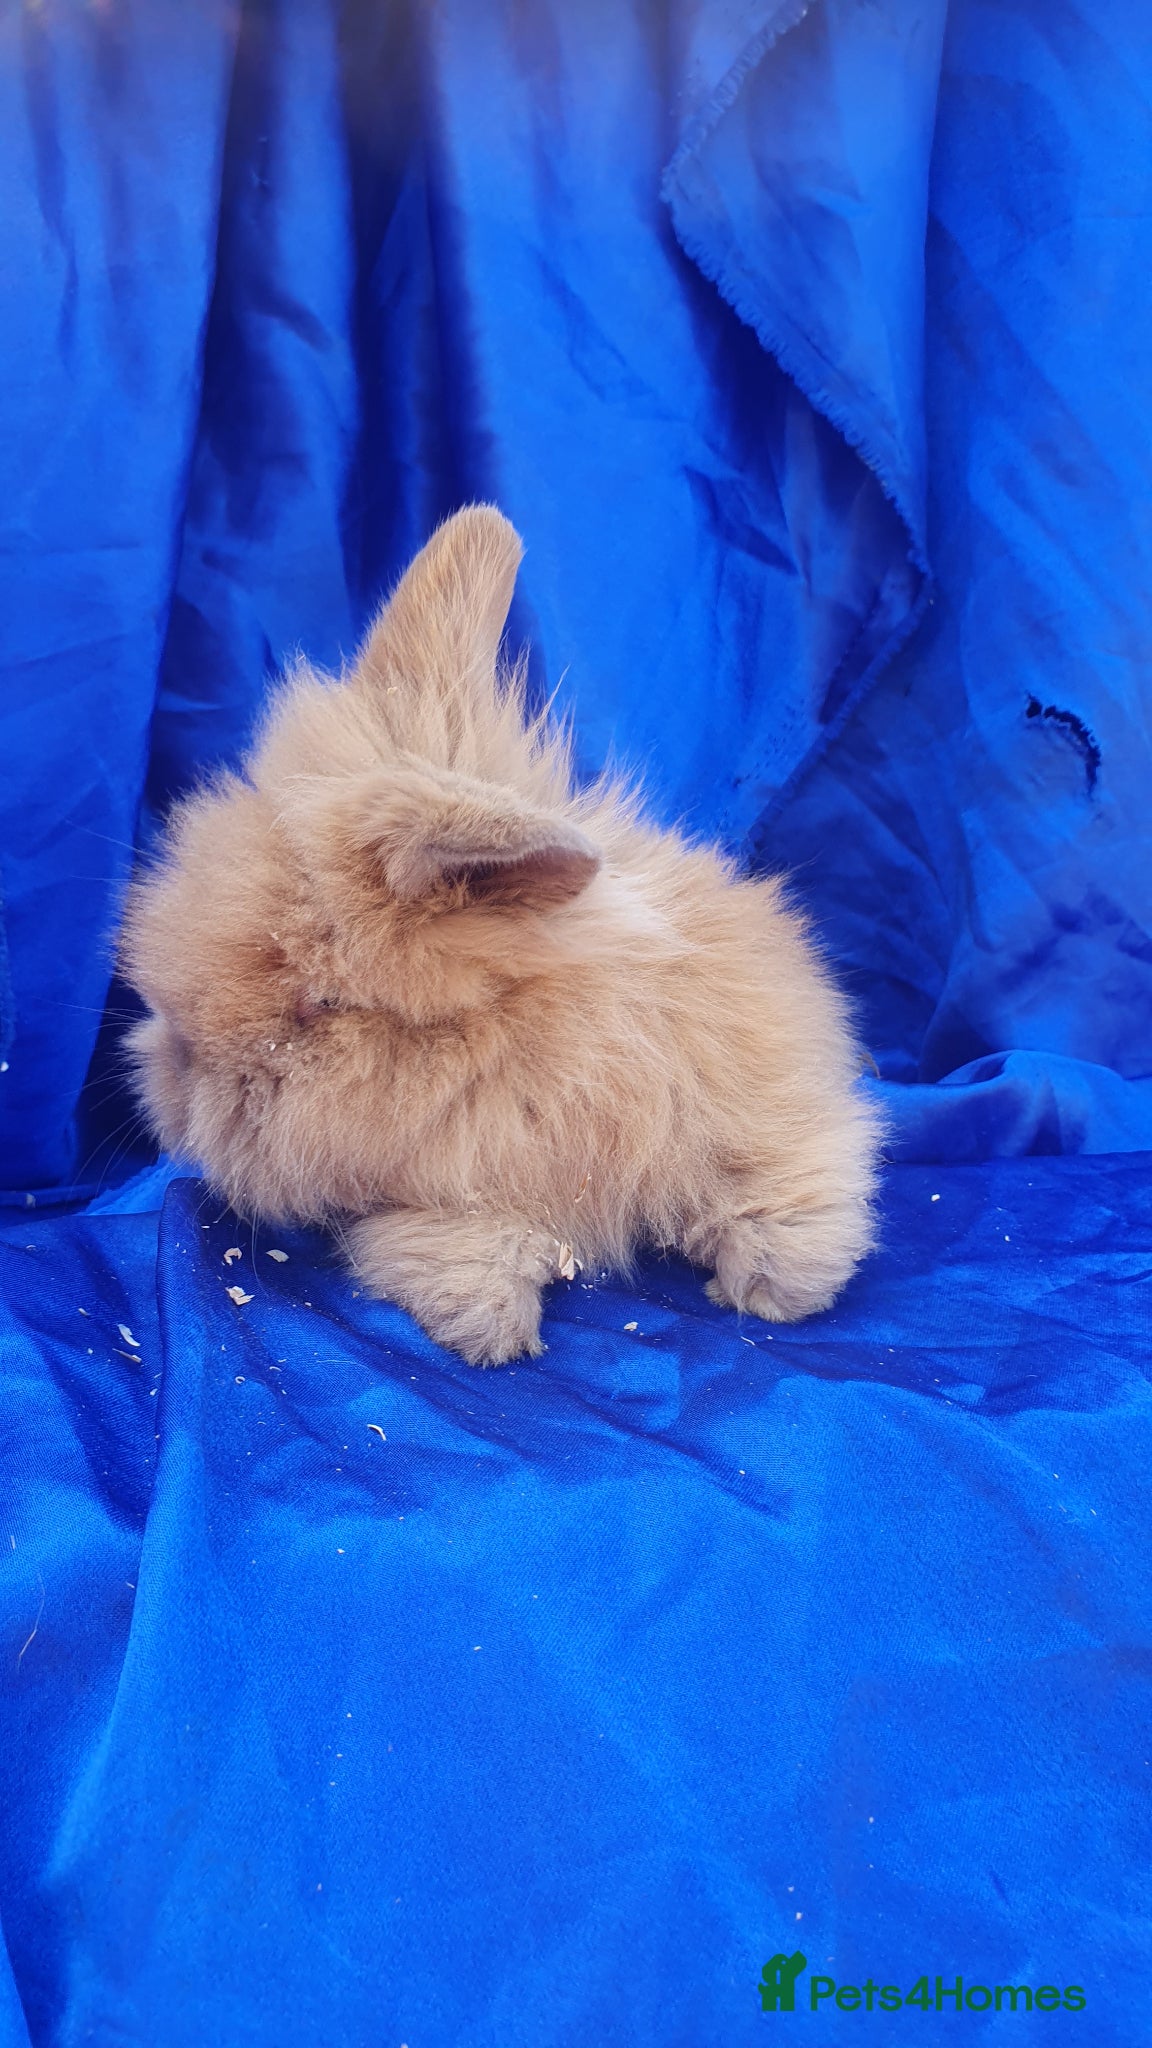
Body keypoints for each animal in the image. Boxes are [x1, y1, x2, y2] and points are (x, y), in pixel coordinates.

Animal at [121, 506, 881, 1364]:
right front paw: (489, 1325)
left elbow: (792, 1213)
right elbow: (464, 1249)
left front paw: (769, 1290)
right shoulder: (443, 1196)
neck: (535, 1054)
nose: (173, 1080)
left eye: (321, 1005)